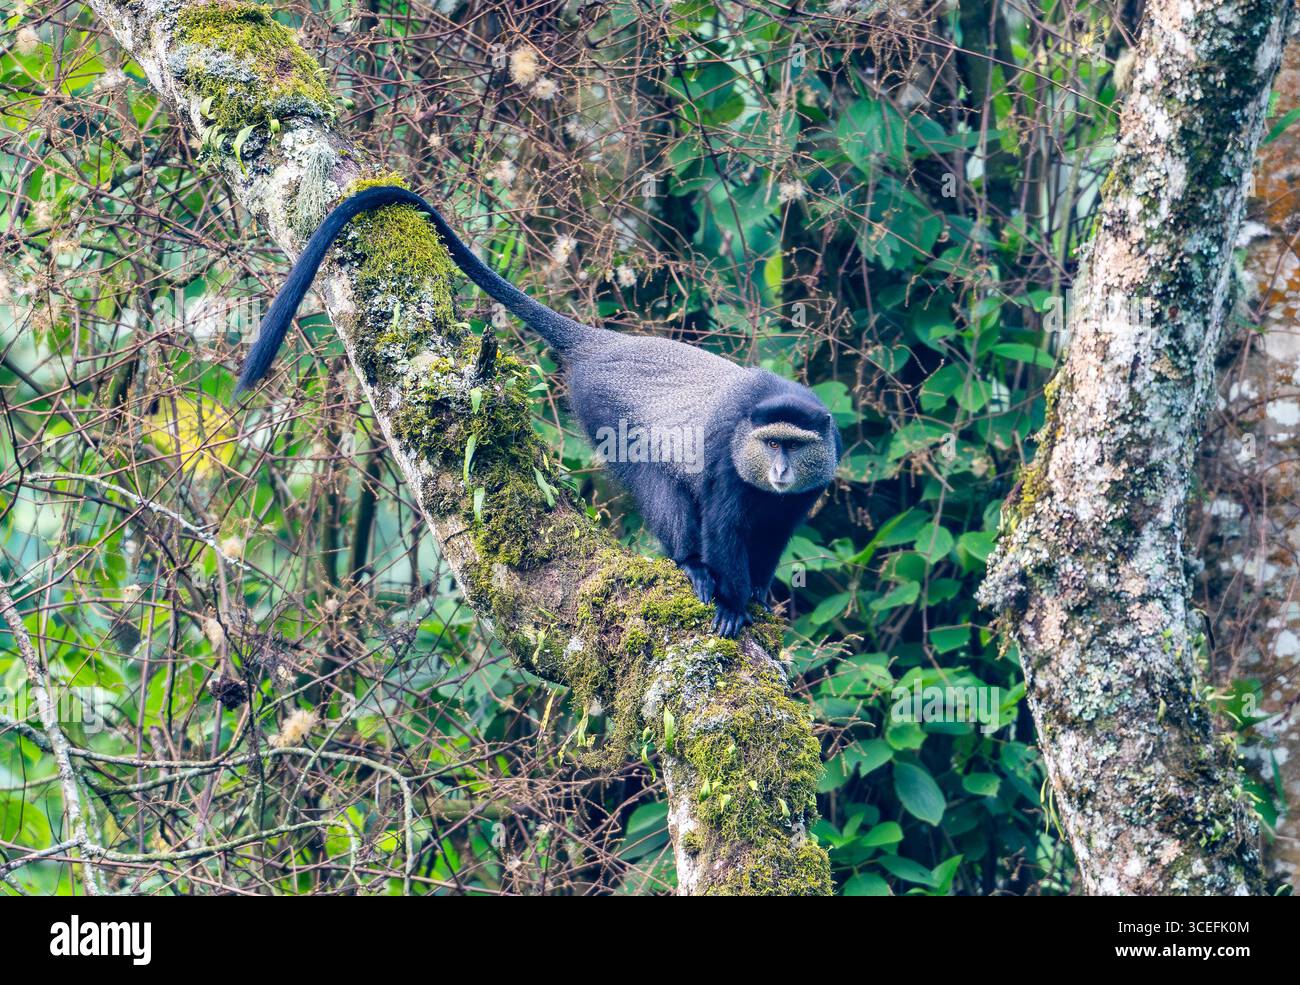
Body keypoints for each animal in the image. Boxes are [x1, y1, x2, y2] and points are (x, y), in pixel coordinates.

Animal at [237, 185, 843, 637]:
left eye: (794, 446)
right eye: (772, 443)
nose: (780, 469)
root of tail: (599, 344)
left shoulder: (805, 489)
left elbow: (775, 533)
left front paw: (759, 591)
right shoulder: (725, 458)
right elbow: (722, 528)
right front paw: (733, 604)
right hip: (605, 412)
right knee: (661, 487)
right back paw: (690, 567)